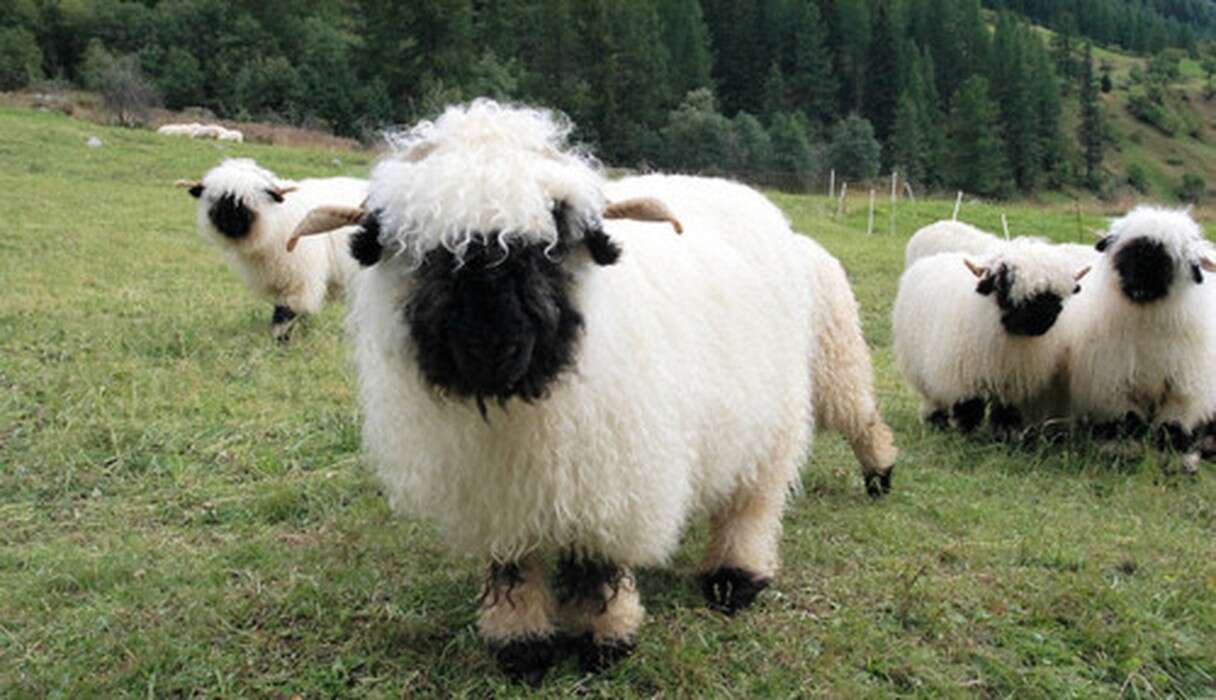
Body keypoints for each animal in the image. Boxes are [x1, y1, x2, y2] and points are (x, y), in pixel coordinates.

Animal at [176, 158, 367, 339]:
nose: (230, 221)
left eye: (247, 201)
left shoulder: (298, 280)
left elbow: (285, 314)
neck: (275, 222)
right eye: (217, 200)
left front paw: (280, 340)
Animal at [290, 100, 817, 680]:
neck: (522, 403)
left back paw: (735, 577)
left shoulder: (611, 480)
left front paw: (604, 639)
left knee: (753, 502)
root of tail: (729, 187)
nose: (490, 345)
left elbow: (597, 565)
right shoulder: (501, 494)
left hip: (774, 420)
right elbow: (514, 567)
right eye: (427, 252)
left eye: (549, 245)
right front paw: (521, 645)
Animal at [893, 239, 1090, 437]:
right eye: (1005, 284)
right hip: (921, 369)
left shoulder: (1011, 381)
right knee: (932, 397)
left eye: (1057, 296)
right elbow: (969, 408)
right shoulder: (964, 378)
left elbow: (1005, 411)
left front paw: (1004, 435)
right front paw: (967, 435)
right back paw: (936, 421)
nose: (1041, 321)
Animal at [1062, 206, 1216, 471]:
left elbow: (1173, 427)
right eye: (1127, 252)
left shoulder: (1184, 389)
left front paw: (1177, 460)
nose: (1139, 287)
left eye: (1169, 260)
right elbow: (1127, 421)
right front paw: (1122, 452)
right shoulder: (1113, 382)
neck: (1147, 321)